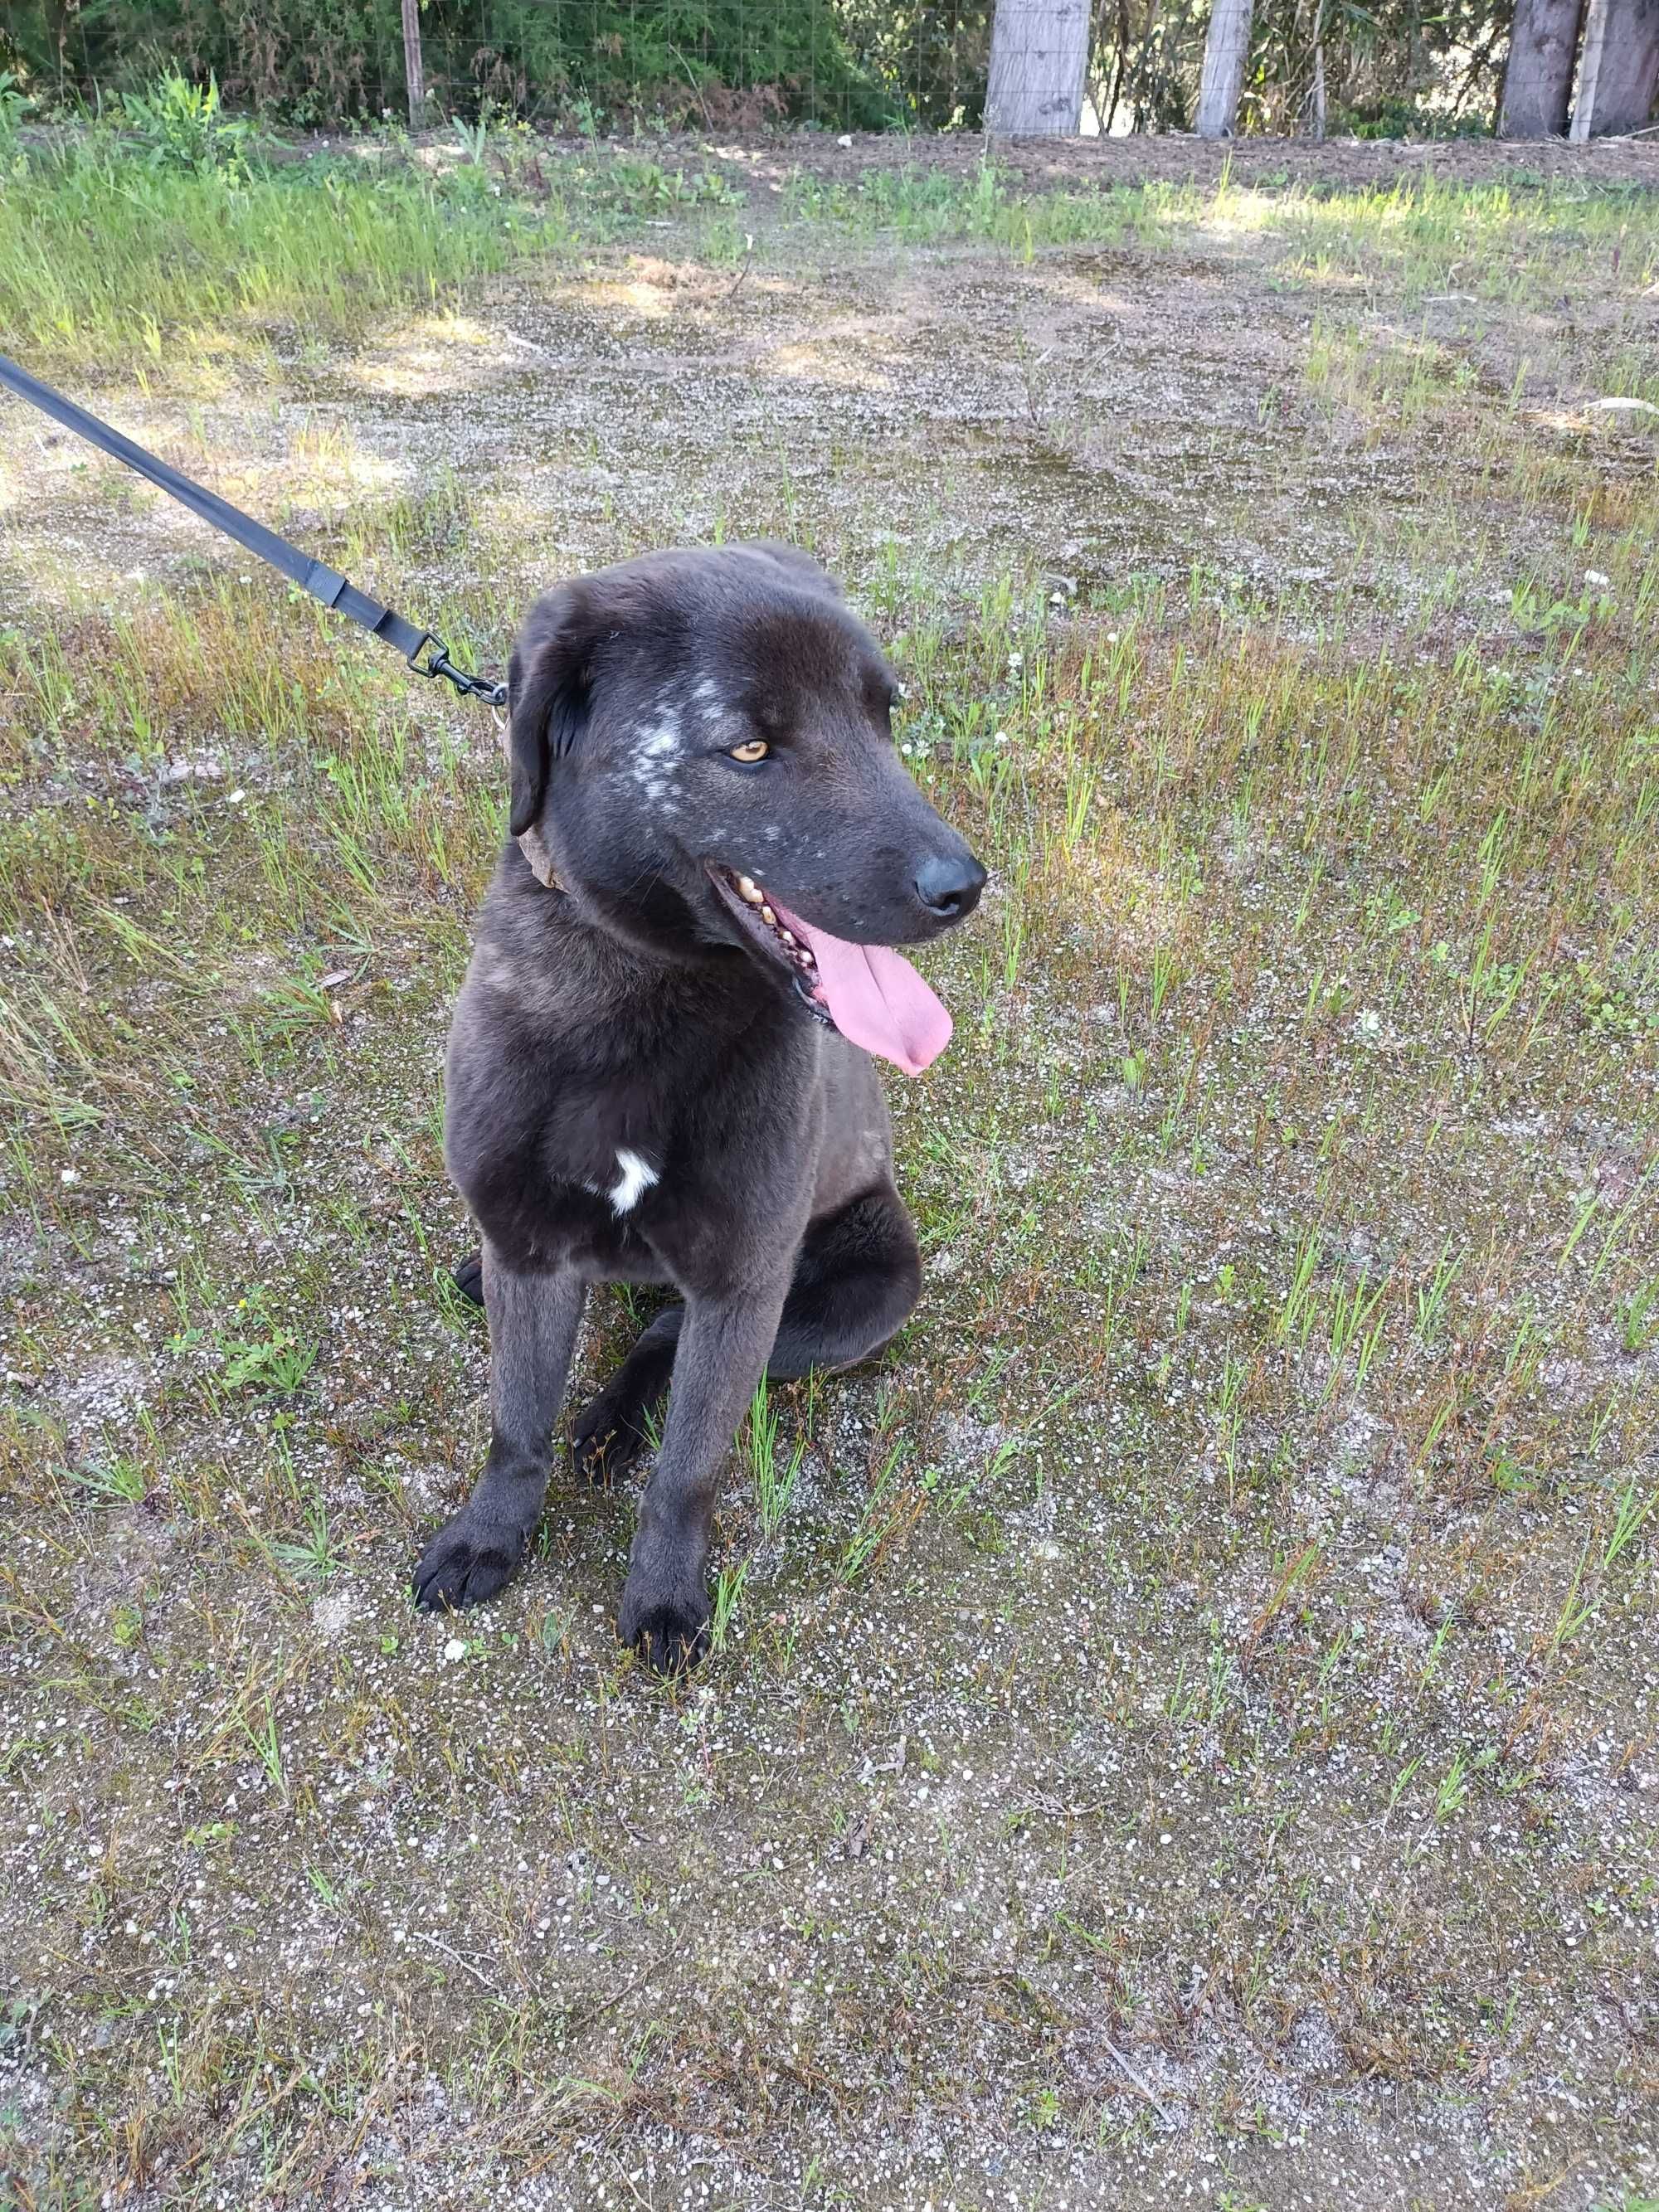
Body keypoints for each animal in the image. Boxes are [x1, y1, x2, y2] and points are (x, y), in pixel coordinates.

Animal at [416, 544, 986, 1663]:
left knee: (655, 1341)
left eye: (884, 716)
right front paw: (487, 1537)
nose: (965, 886)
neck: (643, 999)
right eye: (751, 745)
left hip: (853, 1293)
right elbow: (514, 1426)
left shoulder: (739, 1289)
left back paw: (611, 1424)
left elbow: (688, 1470)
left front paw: (666, 1596)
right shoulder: (529, 1254)